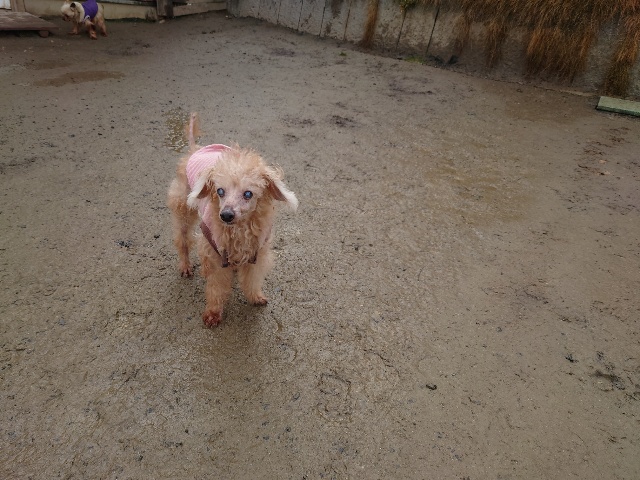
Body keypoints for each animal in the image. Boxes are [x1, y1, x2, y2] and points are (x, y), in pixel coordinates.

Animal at [167, 113, 298, 327]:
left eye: (248, 194)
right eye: (220, 191)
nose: (226, 215)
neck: (239, 230)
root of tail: (195, 149)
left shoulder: (257, 252)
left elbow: (252, 280)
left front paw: (255, 297)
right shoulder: (214, 256)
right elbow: (216, 287)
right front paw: (213, 313)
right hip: (183, 208)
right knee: (183, 239)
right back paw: (185, 266)